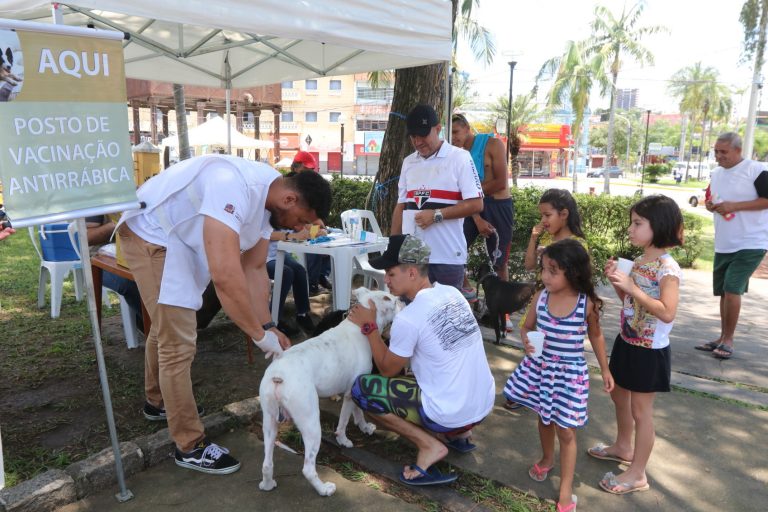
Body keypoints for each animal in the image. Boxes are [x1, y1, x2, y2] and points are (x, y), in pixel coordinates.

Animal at [260, 288, 402, 496]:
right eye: (395, 300)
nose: (404, 300)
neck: (359, 326)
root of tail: (279, 375)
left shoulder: (355, 388)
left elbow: (358, 413)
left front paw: (365, 427)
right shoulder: (350, 394)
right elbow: (344, 420)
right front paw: (343, 440)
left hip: (270, 421)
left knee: (267, 462)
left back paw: (267, 484)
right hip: (311, 424)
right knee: (308, 468)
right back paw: (324, 489)